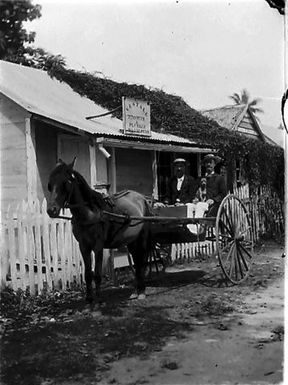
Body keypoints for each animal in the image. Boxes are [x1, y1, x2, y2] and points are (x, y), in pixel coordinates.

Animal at [46, 158, 153, 302]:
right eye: (50, 184)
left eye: (66, 183)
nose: (51, 210)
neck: (89, 213)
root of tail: (142, 199)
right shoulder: (83, 246)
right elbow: (87, 274)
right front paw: (89, 300)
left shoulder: (98, 246)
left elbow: (97, 274)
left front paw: (98, 301)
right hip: (132, 241)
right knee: (137, 261)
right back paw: (136, 291)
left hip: (141, 239)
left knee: (141, 261)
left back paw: (141, 291)